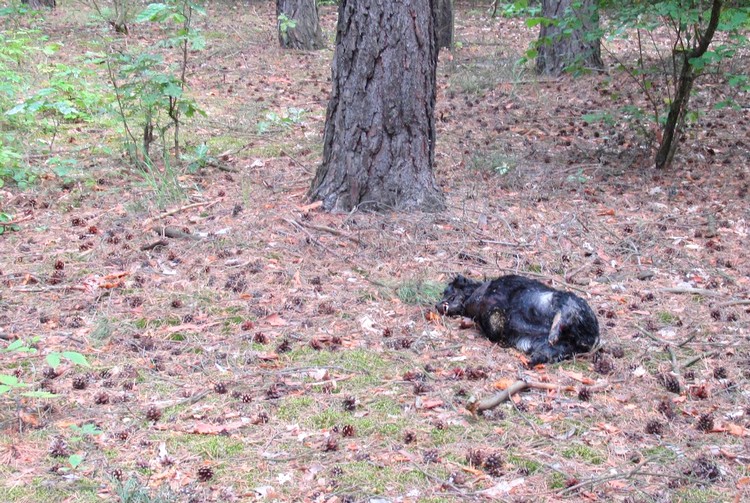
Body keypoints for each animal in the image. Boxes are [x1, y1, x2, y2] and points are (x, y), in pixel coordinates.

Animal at [438, 276, 604, 366]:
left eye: (448, 289)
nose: (437, 305)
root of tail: (594, 339)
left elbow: (491, 317)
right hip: (557, 348)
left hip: (566, 300)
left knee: (566, 311)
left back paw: (555, 331)